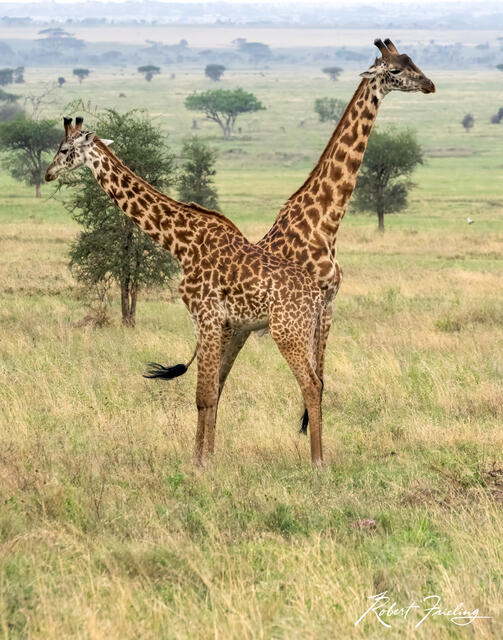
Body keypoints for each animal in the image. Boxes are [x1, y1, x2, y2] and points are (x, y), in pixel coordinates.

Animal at [45, 117, 326, 464]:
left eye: (64, 149)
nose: (48, 173)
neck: (181, 243)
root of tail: (318, 297)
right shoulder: (207, 322)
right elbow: (209, 391)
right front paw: (200, 456)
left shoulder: (206, 316)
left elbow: (204, 394)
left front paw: (202, 461)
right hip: (306, 333)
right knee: (318, 383)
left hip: (288, 332)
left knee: (311, 385)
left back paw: (317, 461)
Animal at [213, 39, 436, 434]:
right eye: (395, 70)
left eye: (413, 61)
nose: (430, 85)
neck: (325, 225)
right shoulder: (310, 308)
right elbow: (314, 379)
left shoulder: (329, 305)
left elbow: (322, 377)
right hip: (232, 329)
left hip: (243, 330)